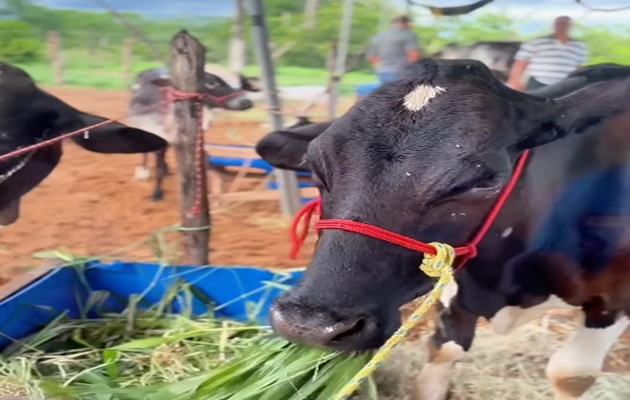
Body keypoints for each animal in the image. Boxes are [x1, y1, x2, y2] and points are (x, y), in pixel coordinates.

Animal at [128, 67, 260, 203]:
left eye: (242, 84)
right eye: (211, 83)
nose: (245, 102)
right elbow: (158, 166)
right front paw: (157, 194)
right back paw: (144, 171)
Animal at [256, 60, 630, 400]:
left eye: (485, 181)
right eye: (312, 166)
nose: (308, 325)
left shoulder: (614, 302)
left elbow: (571, 374)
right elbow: (443, 351)